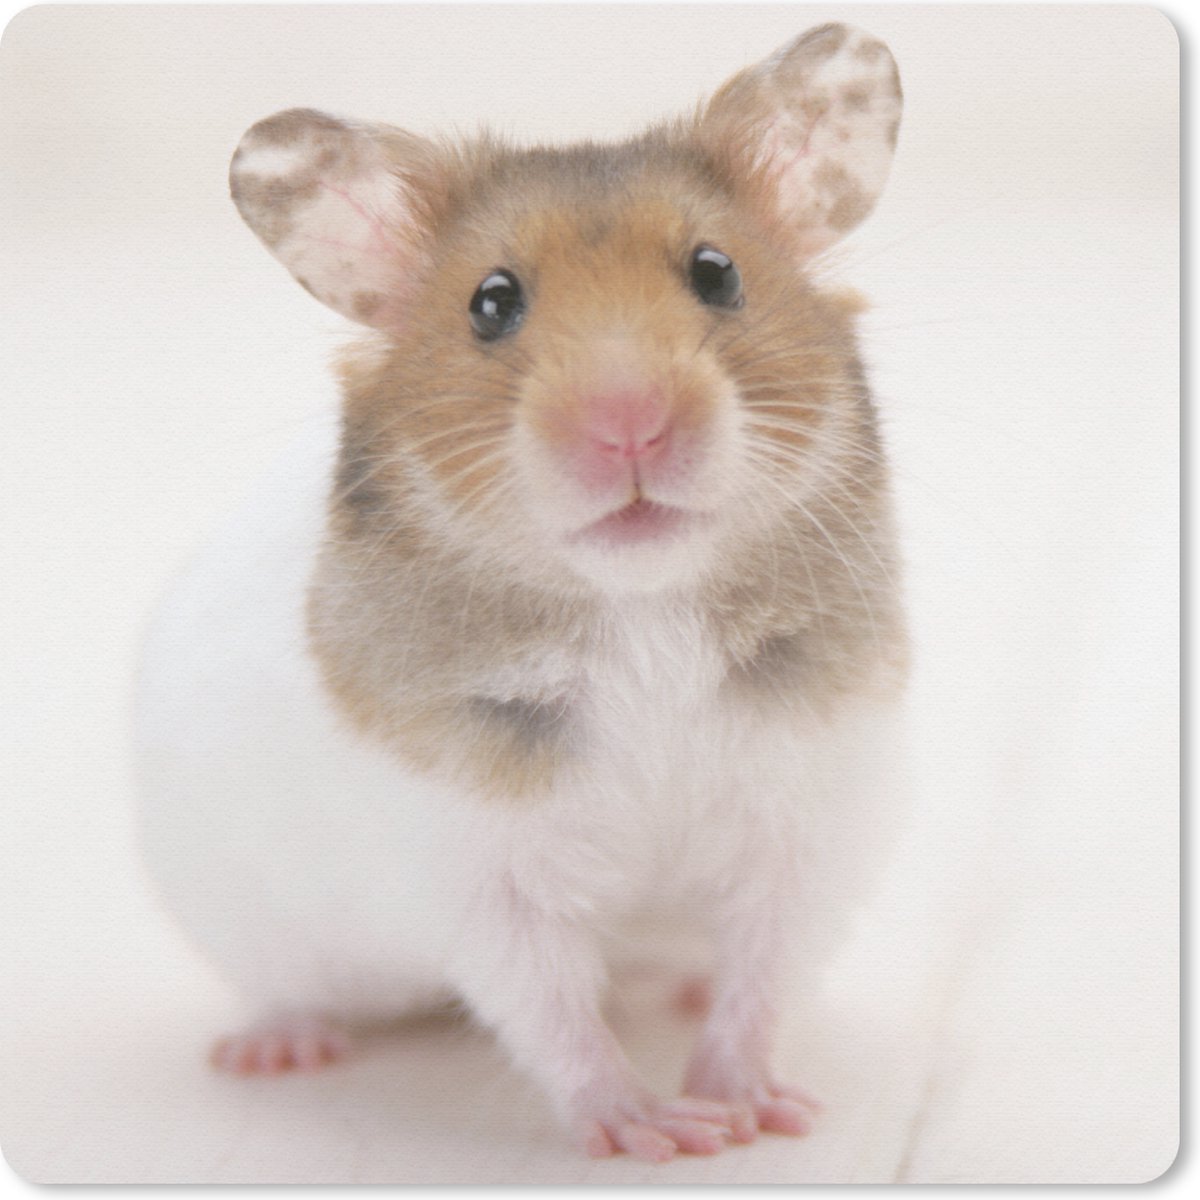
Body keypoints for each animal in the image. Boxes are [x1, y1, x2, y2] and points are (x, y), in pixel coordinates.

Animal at [136, 22, 909, 1162]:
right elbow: (551, 1011)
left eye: (716, 273)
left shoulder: (807, 820)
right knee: (287, 993)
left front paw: (756, 1110)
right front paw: (658, 1132)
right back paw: (276, 1050)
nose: (630, 423)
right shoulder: (481, 872)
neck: (641, 609)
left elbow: (762, 977)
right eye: (491, 303)